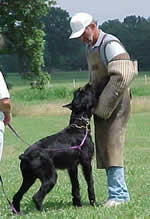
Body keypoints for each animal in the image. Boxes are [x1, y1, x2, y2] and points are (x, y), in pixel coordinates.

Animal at [11, 83, 99, 213]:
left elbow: (75, 186)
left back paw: (17, 212)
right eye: (83, 91)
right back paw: (42, 211)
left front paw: (77, 204)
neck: (79, 126)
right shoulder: (86, 163)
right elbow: (90, 183)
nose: (89, 84)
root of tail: (25, 155)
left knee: (17, 196)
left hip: (28, 178)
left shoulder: (72, 167)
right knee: (36, 197)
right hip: (50, 177)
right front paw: (94, 203)